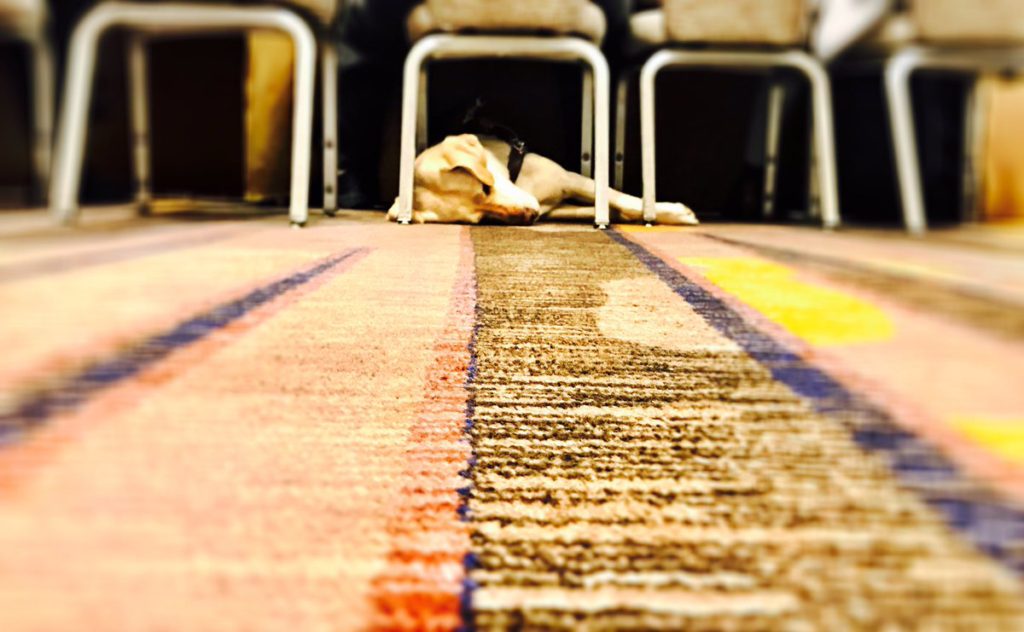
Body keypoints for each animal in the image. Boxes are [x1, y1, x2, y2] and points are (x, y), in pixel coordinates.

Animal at [387, 133, 700, 226]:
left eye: (486, 187)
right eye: (481, 219)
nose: (528, 217)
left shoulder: (571, 179)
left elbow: (619, 198)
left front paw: (674, 213)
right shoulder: (555, 206)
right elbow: (601, 208)